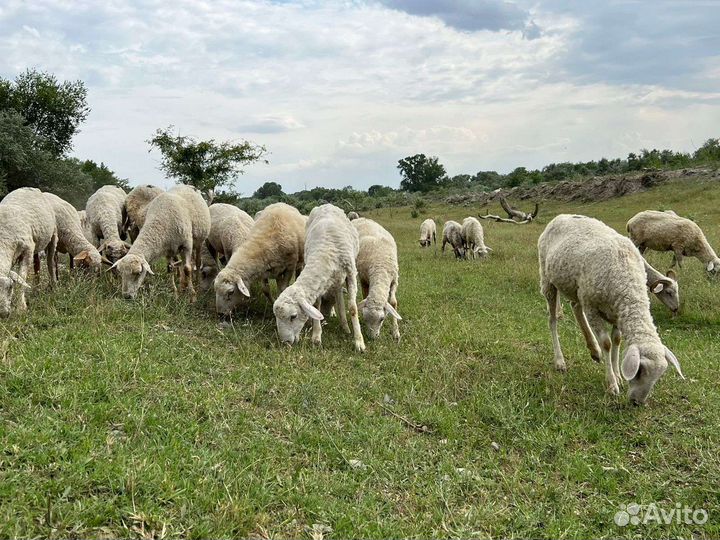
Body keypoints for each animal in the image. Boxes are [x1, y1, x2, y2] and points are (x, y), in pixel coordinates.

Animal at [0, 188, 57, 316]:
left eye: (10, 287)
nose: (3, 313)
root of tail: (28, 188)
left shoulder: (28, 250)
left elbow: (22, 276)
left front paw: (21, 307)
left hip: (53, 235)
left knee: (50, 262)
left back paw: (54, 286)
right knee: (37, 265)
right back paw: (36, 289)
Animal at [273, 203, 365, 352]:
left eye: (293, 316)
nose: (285, 342)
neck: (326, 251)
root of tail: (326, 204)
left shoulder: (351, 272)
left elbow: (352, 308)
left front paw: (359, 341)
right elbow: (317, 304)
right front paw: (316, 335)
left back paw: (345, 326)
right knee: (338, 294)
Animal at [538, 214, 684, 404]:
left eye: (658, 377)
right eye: (639, 371)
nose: (637, 402)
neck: (629, 285)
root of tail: (560, 217)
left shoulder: (618, 312)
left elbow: (616, 340)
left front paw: (618, 376)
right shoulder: (593, 308)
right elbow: (607, 343)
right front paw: (612, 384)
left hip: (577, 288)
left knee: (575, 307)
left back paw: (594, 350)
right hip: (548, 279)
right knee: (552, 319)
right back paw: (560, 361)